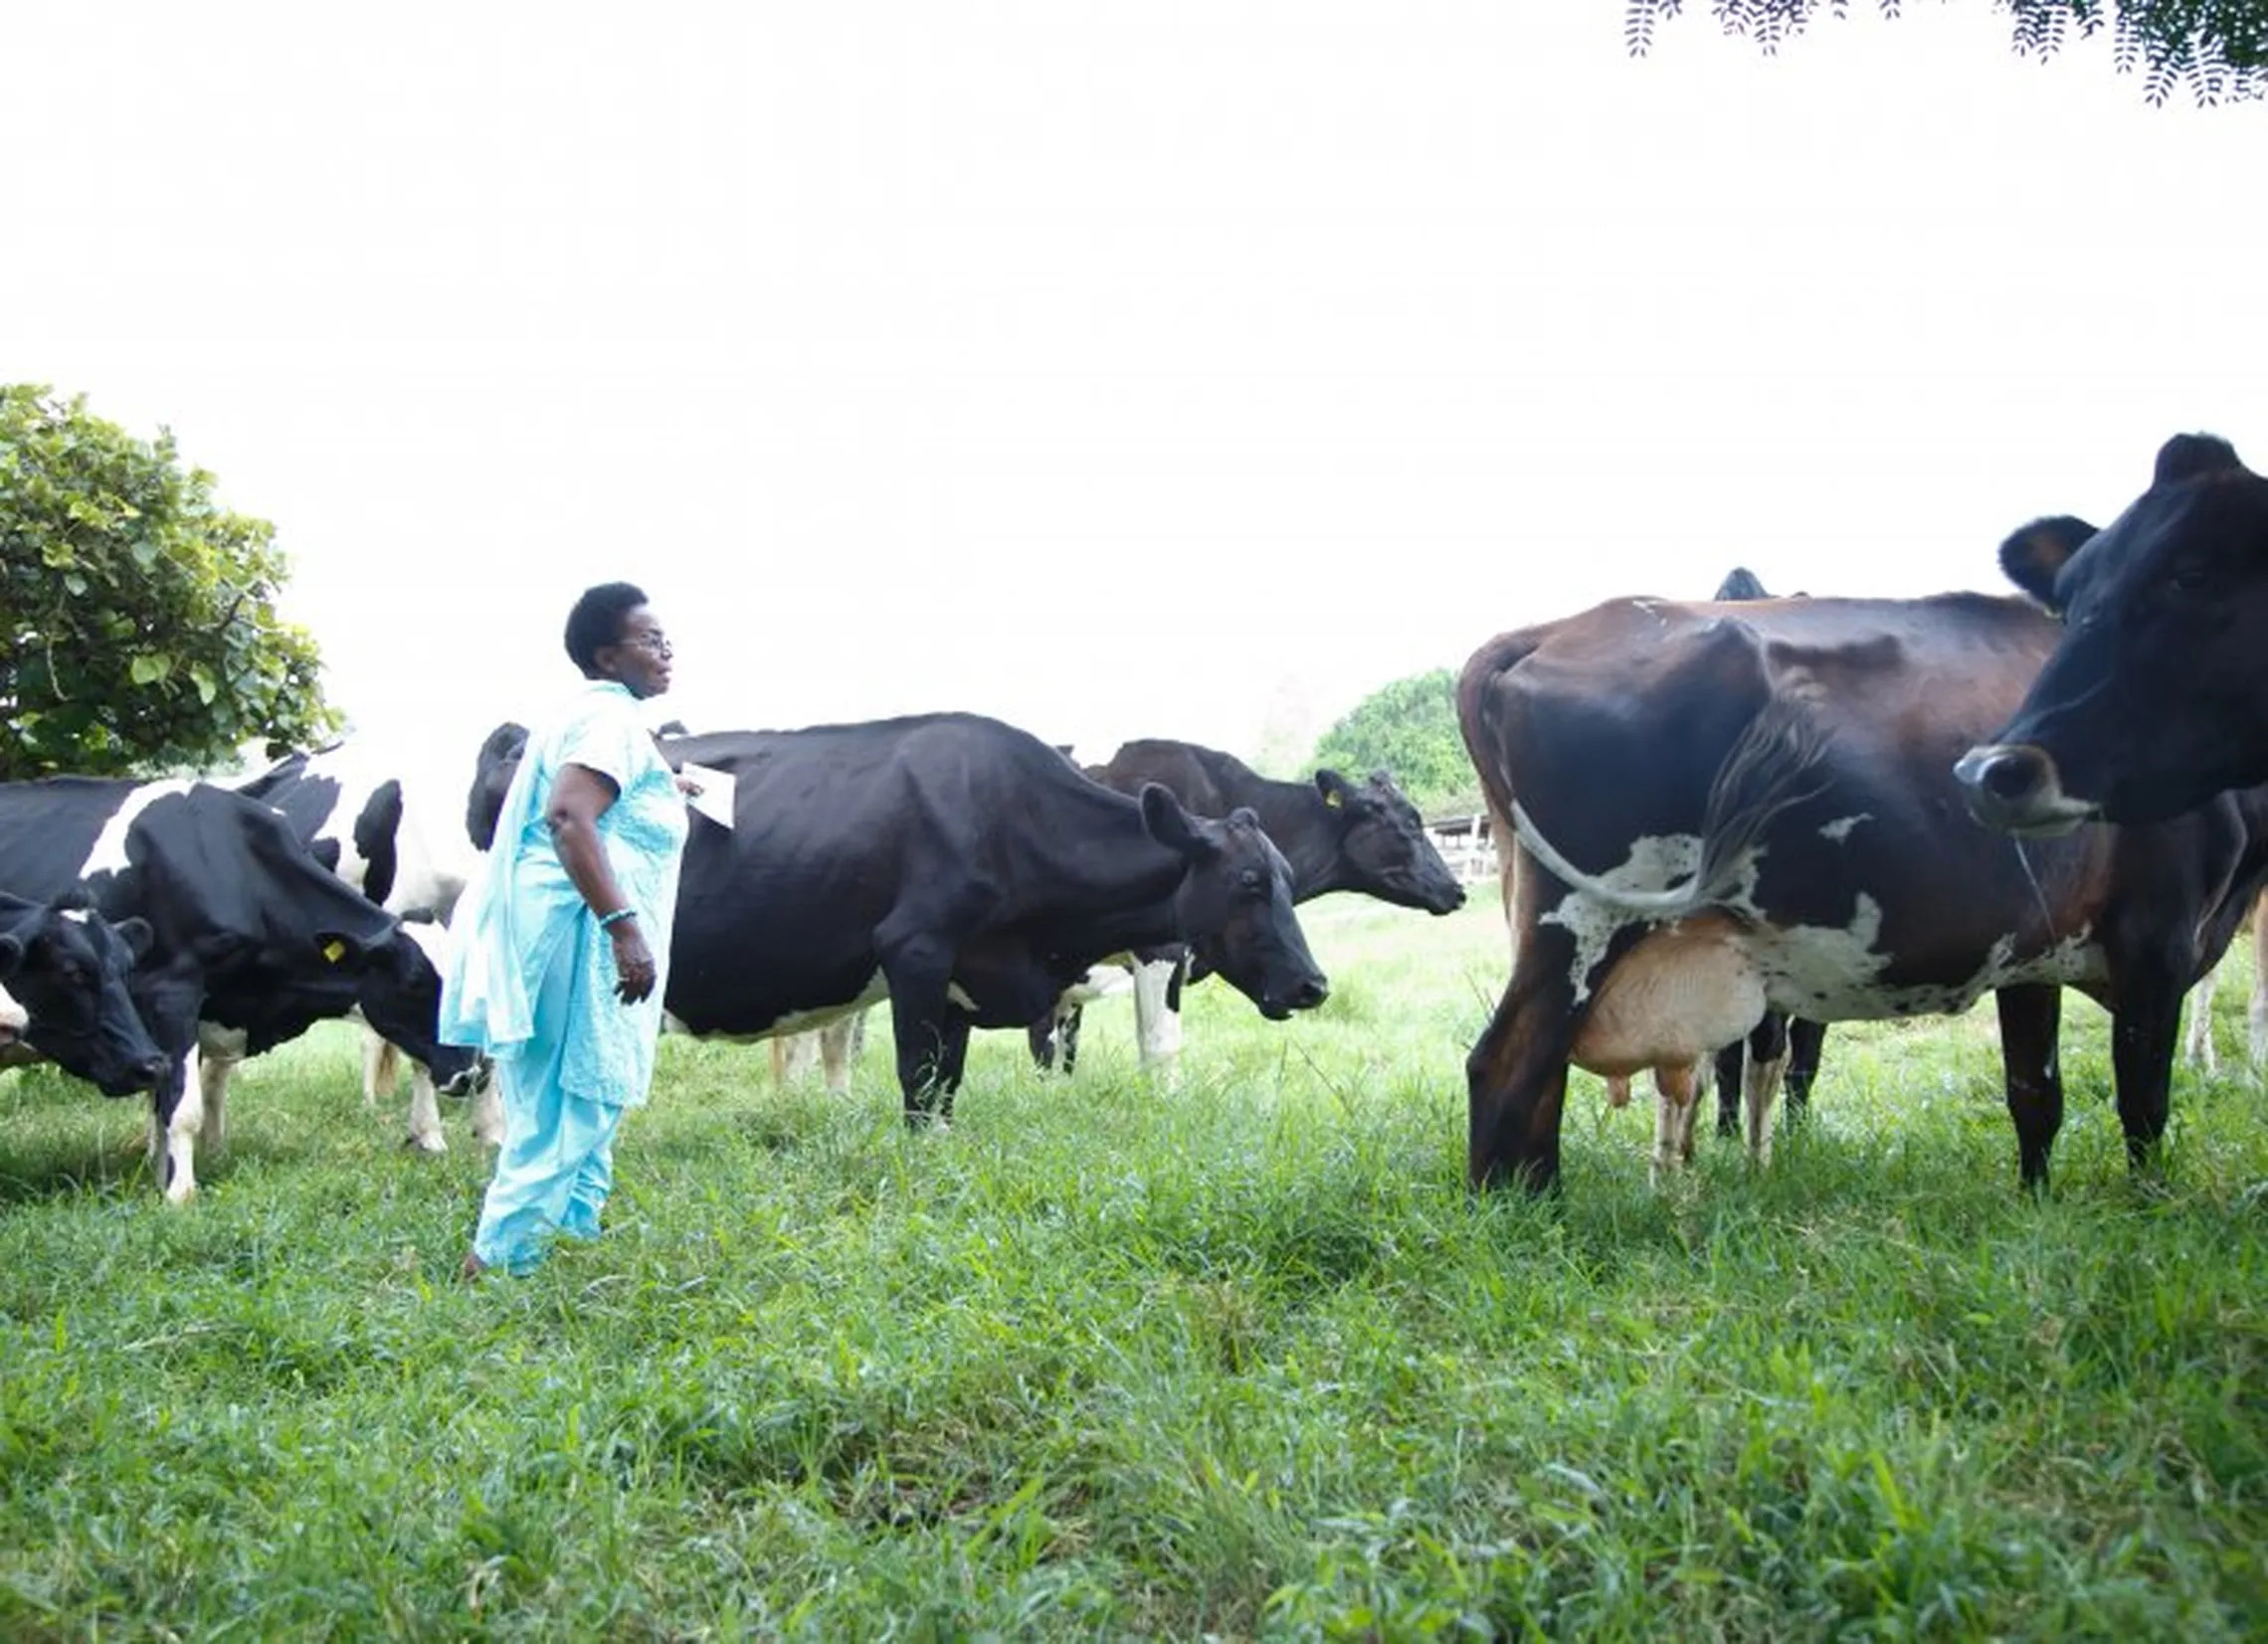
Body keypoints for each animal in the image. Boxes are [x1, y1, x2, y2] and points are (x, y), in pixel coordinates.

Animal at [1451, 589, 2268, 1196]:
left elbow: (2035, 1093)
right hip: (1586, 922)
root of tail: (1549, 630)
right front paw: (2144, 1206)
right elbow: (2144, 1104)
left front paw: (2036, 1202)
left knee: (1544, 1077)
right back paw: (1532, 1217)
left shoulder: (2034, 954)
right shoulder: (2156, 942)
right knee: (1506, 1067)